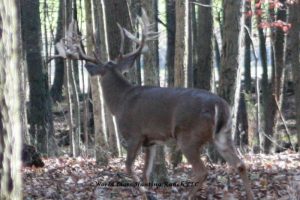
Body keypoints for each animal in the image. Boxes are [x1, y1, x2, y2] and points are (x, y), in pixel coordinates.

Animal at [53, 9, 253, 200]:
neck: (120, 102)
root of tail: (220, 106)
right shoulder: (151, 141)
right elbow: (146, 173)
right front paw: (148, 192)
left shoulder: (134, 134)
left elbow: (128, 167)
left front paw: (146, 194)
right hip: (224, 133)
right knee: (240, 164)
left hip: (189, 135)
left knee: (202, 171)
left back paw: (186, 196)